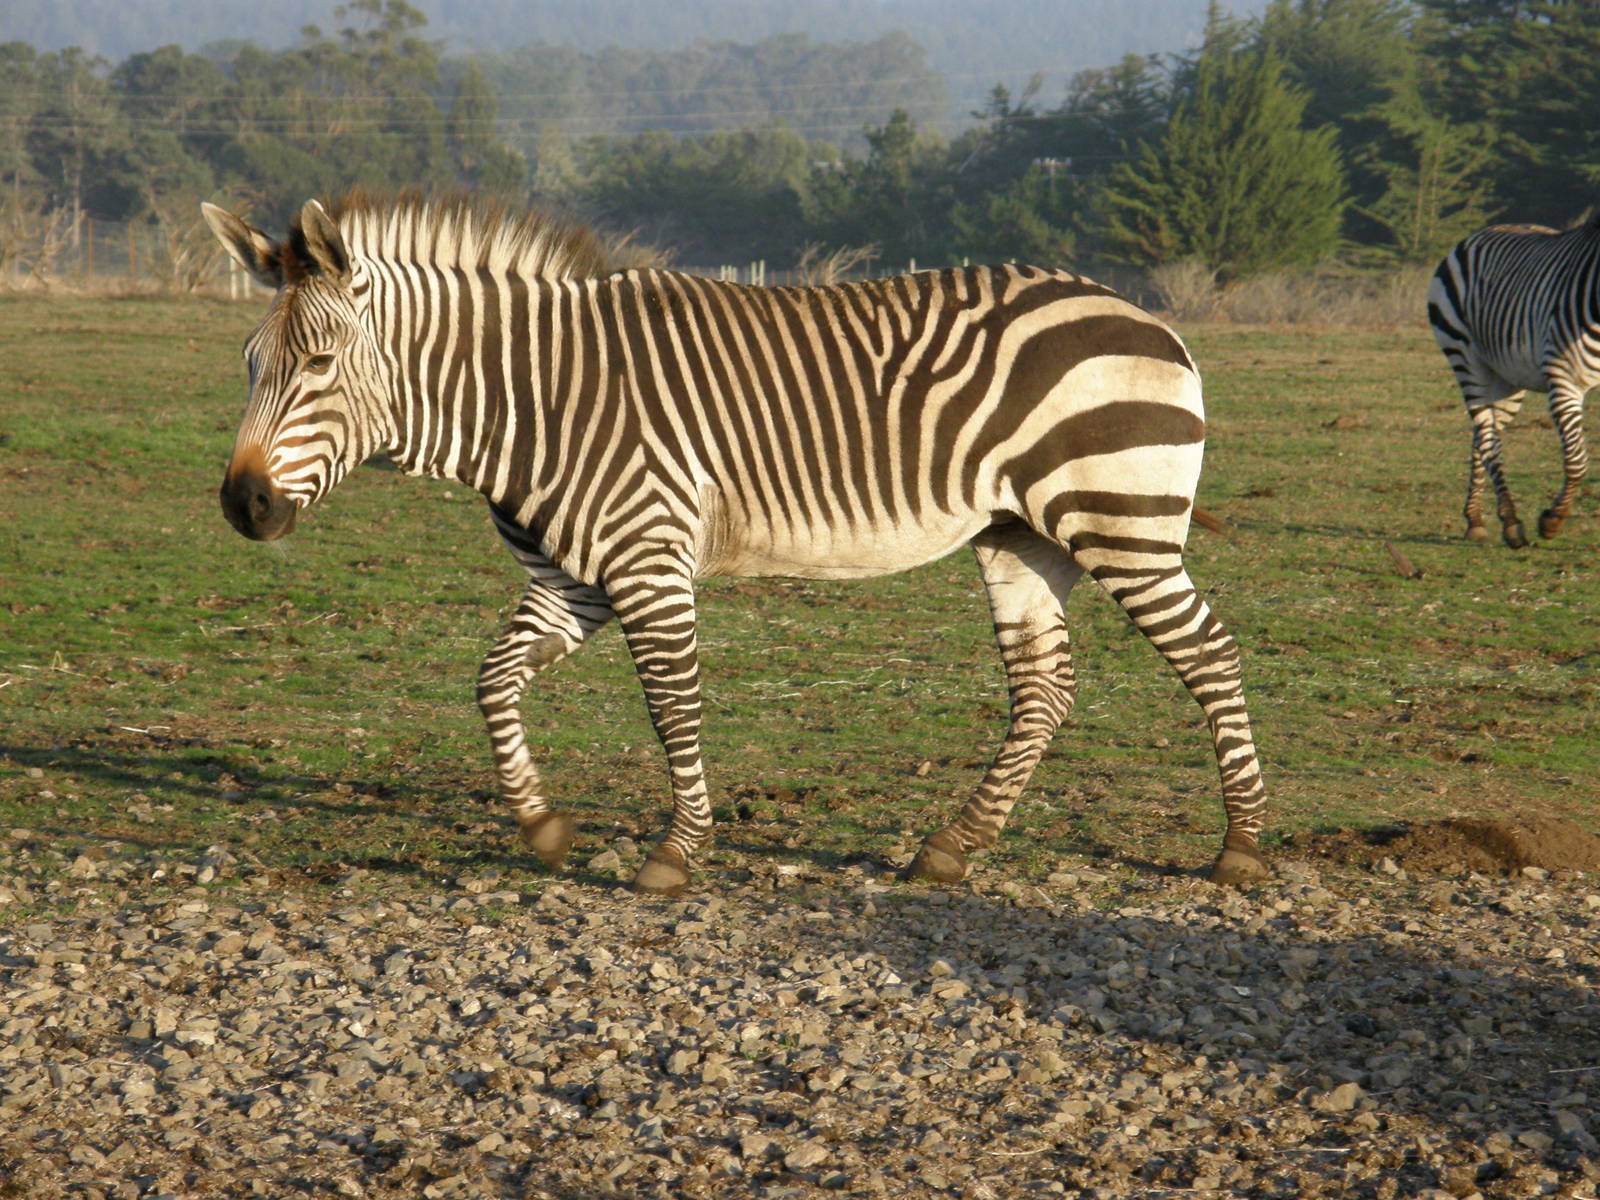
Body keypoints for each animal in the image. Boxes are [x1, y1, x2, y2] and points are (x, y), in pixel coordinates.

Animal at [202, 191, 1270, 896]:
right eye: (248, 363)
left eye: (320, 364)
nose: (243, 506)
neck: (531, 398)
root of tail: (1144, 316)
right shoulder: (576, 577)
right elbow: (493, 680)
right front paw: (543, 829)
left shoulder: (646, 558)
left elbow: (672, 706)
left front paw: (674, 855)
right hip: (1020, 536)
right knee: (1046, 688)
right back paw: (951, 848)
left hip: (1119, 522)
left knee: (1211, 654)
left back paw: (1241, 847)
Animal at [1428, 211, 1600, 547]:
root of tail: (1479, 234)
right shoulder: (1564, 380)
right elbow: (1577, 460)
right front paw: (1551, 520)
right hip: (1466, 357)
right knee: (1488, 437)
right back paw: (1510, 522)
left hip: (1507, 377)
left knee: (1483, 435)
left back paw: (1475, 518)